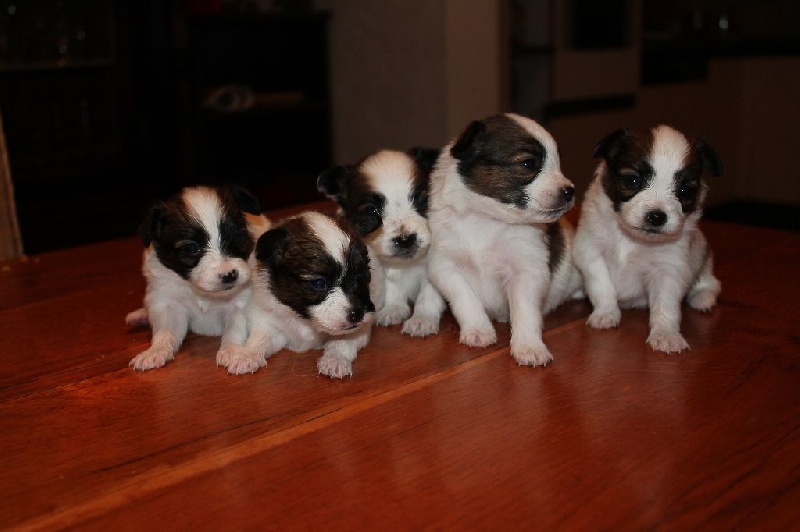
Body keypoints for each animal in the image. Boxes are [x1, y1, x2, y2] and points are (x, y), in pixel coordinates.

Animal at [127, 185, 268, 372]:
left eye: (238, 238)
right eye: (191, 248)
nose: (229, 275)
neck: (201, 292)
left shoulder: (240, 305)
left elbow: (234, 330)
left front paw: (232, 351)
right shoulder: (169, 304)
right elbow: (165, 332)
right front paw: (155, 351)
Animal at [216, 210, 384, 376]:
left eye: (365, 276)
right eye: (319, 283)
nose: (357, 314)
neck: (306, 320)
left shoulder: (359, 329)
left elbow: (342, 342)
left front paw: (335, 359)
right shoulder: (270, 322)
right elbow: (260, 338)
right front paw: (247, 354)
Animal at [316, 148, 446, 334]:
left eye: (424, 201)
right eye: (372, 211)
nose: (405, 239)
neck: (407, 264)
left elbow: (428, 294)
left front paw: (422, 320)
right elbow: (392, 287)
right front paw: (393, 309)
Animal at [428, 113, 584, 366]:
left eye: (558, 163)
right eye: (528, 164)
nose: (570, 191)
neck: (485, 219)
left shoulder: (527, 270)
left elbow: (525, 311)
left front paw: (529, 346)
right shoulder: (444, 266)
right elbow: (465, 299)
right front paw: (478, 330)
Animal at [572, 124, 720, 354]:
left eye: (685, 190)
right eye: (633, 180)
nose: (657, 216)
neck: (632, 239)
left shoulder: (668, 269)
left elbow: (665, 305)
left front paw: (666, 334)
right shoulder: (591, 252)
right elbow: (602, 285)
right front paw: (606, 313)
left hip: (703, 253)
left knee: (711, 283)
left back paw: (702, 297)